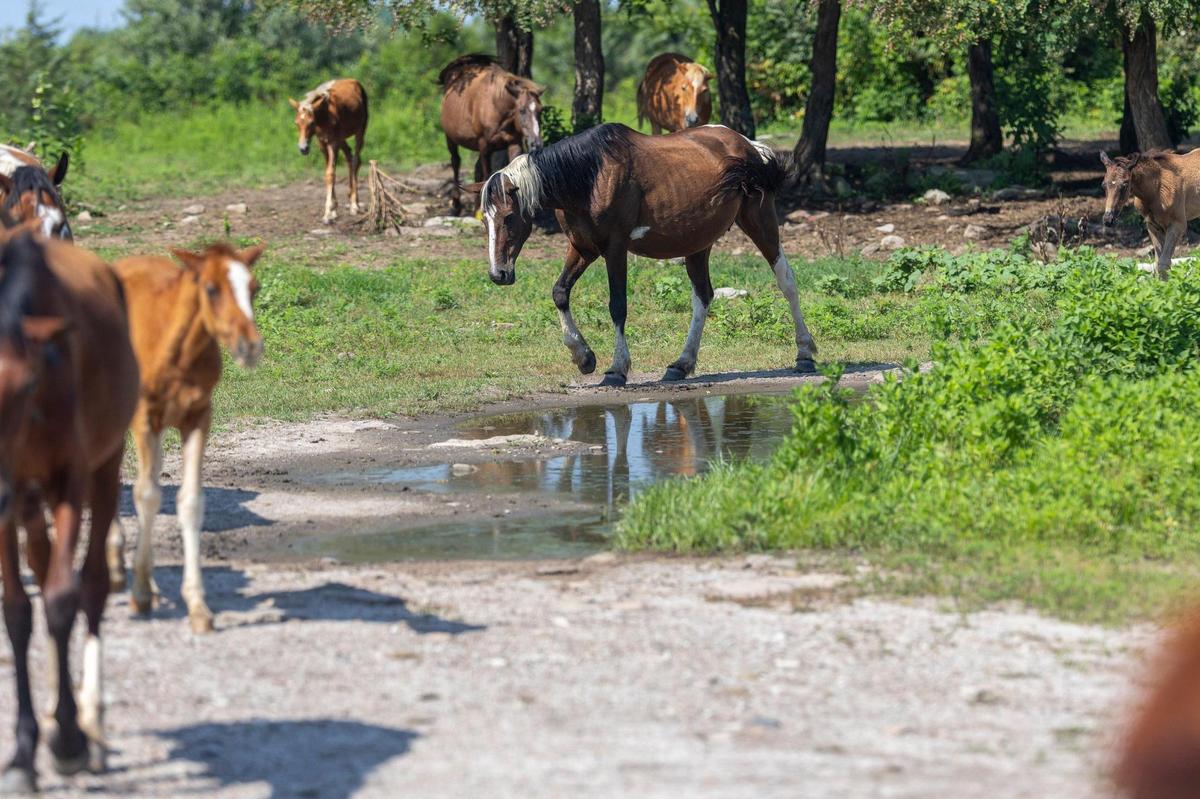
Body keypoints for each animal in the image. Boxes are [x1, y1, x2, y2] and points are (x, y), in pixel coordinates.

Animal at [105, 243, 265, 634]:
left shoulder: (198, 418)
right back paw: (114, 565)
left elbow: (190, 501)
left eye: (254, 288)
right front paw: (140, 594)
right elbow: (147, 496)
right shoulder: (143, 417)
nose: (250, 345)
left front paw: (197, 606)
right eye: (211, 289)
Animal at [289, 79, 368, 225]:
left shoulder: (333, 143)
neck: (325, 115)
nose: (303, 148)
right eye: (296, 123)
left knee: (356, 160)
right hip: (342, 138)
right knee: (349, 155)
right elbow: (328, 172)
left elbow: (331, 173)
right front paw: (333, 211)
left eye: (311, 122)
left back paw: (354, 205)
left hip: (360, 130)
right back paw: (352, 199)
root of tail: (354, 81)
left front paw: (327, 213)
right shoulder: (322, 144)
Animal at [439, 54, 544, 215]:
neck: (496, 106)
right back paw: (456, 206)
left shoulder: (514, 144)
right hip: (450, 138)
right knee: (455, 162)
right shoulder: (484, 146)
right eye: (521, 110)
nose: (536, 142)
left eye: (540, 111)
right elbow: (487, 174)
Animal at [470, 123, 817, 387]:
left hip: (759, 220)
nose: (498, 273)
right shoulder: (583, 247)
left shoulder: (614, 249)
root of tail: (749, 147)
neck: (589, 176)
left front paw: (617, 369)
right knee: (703, 296)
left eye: (509, 218)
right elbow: (560, 293)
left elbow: (617, 306)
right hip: (697, 242)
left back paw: (805, 354)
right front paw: (583, 357)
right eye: (485, 219)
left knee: (786, 280)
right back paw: (680, 364)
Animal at [1101, 149, 1200, 280]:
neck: (1156, 190)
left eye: (1125, 184)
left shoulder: (1178, 224)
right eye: (1103, 185)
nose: (1108, 219)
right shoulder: (1153, 225)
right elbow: (1158, 263)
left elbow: (1164, 262)